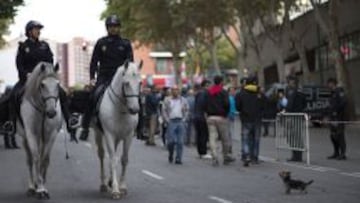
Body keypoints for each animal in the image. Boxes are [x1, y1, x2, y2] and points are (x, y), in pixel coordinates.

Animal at [16, 62, 62, 200]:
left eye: (58, 84)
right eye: (42, 85)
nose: (51, 113)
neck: (42, 109)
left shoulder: (51, 134)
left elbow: (44, 159)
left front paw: (43, 186)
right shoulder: (31, 134)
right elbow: (36, 158)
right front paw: (40, 189)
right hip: (25, 138)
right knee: (30, 160)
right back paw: (32, 187)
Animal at [88, 59, 142, 198]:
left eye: (140, 83)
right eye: (126, 83)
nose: (134, 109)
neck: (121, 109)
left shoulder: (128, 136)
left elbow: (124, 159)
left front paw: (122, 186)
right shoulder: (109, 134)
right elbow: (113, 159)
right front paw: (116, 190)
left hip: (117, 137)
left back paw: (110, 181)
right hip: (99, 133)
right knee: (102, 155)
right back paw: (103, 183)